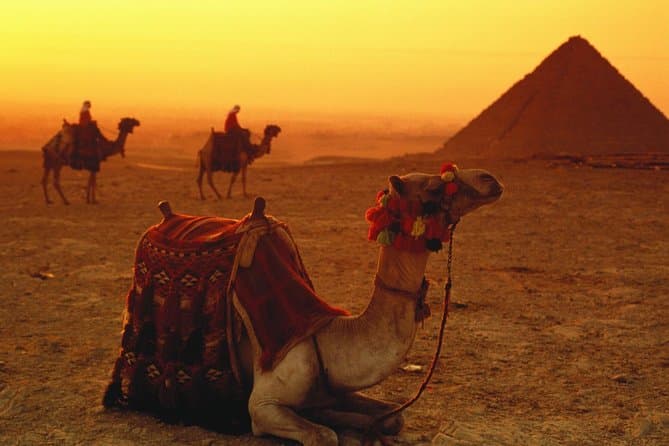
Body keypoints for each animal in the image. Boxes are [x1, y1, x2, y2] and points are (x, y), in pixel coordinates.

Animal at [104, 164, 503, 445]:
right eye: (435, 188)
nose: (490, 179)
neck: (325, 336)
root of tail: (163, 217)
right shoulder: (262, 405)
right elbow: (323, 435)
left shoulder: (334, 386)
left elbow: (392, 416)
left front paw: (361, 423)